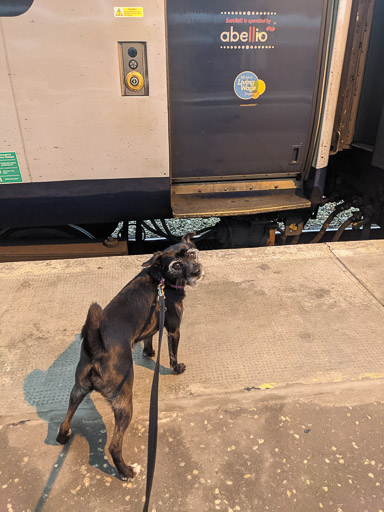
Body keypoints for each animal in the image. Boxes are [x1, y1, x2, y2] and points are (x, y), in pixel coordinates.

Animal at [57, 232, 204, 480]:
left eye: (192, 254)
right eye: (175, 266)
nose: (196, 271)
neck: (160, 279)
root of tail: (97, 351)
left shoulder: (152, 326)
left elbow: (148, 339)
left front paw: (149, 352)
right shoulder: (174, 329)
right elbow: (173, 354)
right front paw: (176, 369)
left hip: (77, 390)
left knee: (65, 420)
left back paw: (63, 437)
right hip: (124, 401)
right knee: (114, 446)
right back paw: (127, 471)